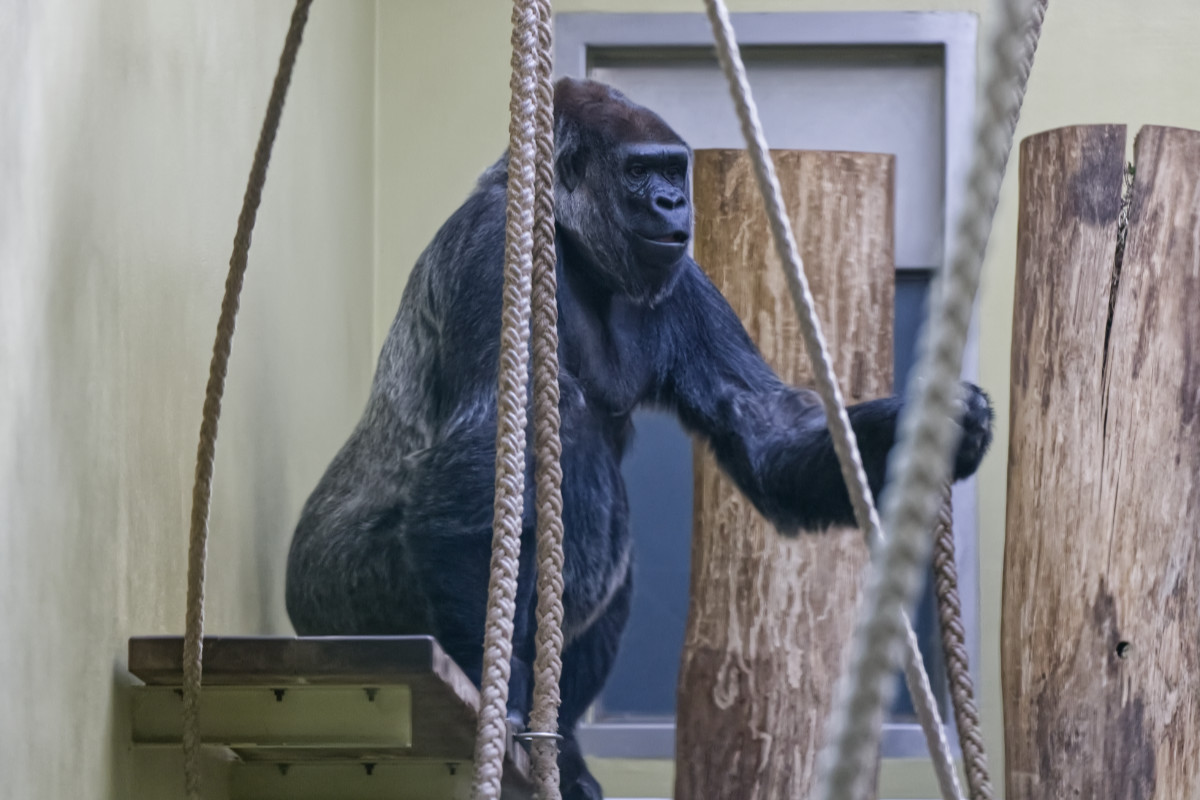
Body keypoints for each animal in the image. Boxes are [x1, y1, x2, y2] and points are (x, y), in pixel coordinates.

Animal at [285, 77, 994, 799]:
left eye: (673, 170)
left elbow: (764, 427)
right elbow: (482, 457)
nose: (672, 202)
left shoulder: (685, 277)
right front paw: (495, 684)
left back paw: (565, 748)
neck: (569, 241)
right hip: (340, 602)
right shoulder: (496, 246)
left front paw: (934, 425)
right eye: (637, 172)